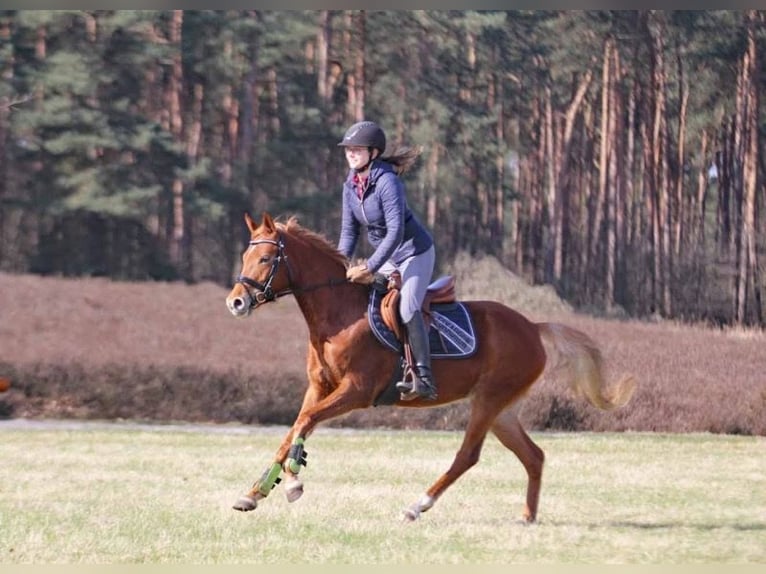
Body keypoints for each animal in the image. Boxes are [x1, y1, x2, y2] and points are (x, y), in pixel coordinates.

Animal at [225, 214, 640, 524]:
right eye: (244, 257)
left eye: (266, 259)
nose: (236, 302)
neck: (338, 314)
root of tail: (533, 327)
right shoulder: (320, 387)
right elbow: (294, 428)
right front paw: (256, 492)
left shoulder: (357, 391)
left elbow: (306, 422)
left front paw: (293, 481)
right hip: (503, 410)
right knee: (533, 455)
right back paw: (527, 516)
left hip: (489, 400)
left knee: (468, 456)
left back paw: (417, 505)